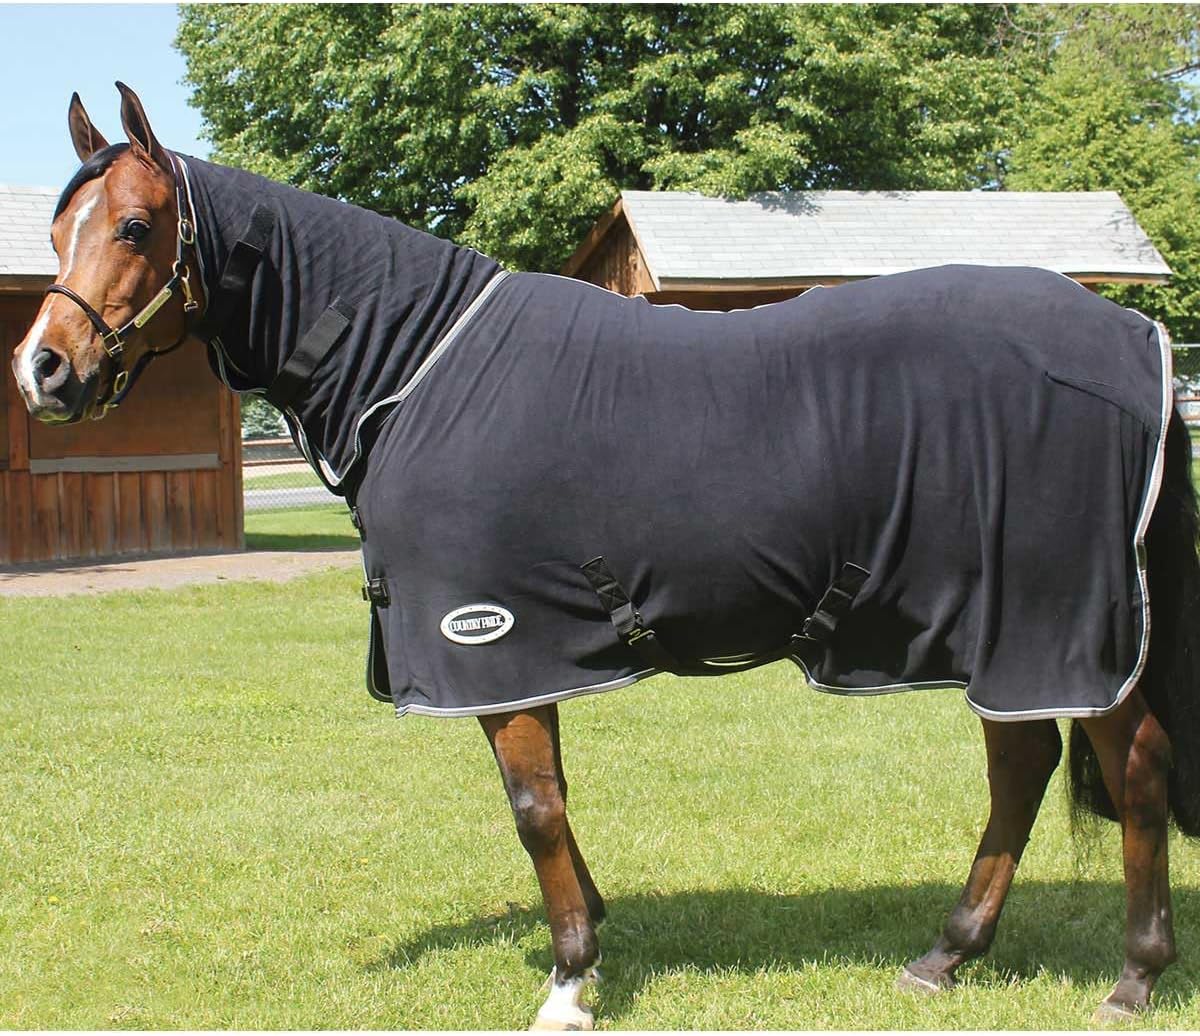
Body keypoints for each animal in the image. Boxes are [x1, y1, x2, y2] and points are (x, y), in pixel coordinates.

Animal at [13, 83, 1200, 1029]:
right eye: (62, 227)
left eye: (134, 227)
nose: (44, 371)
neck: (414, 368)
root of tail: (1134, 342)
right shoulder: (527, 654)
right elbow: (558, 803)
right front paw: (592, 936)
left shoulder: (492, 642)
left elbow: (534, 808)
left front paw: (570, 980)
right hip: (995, 629)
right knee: (1022, 764)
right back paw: (945, 956)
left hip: (1063, 627)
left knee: (1132, 766)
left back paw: (1134, 977)